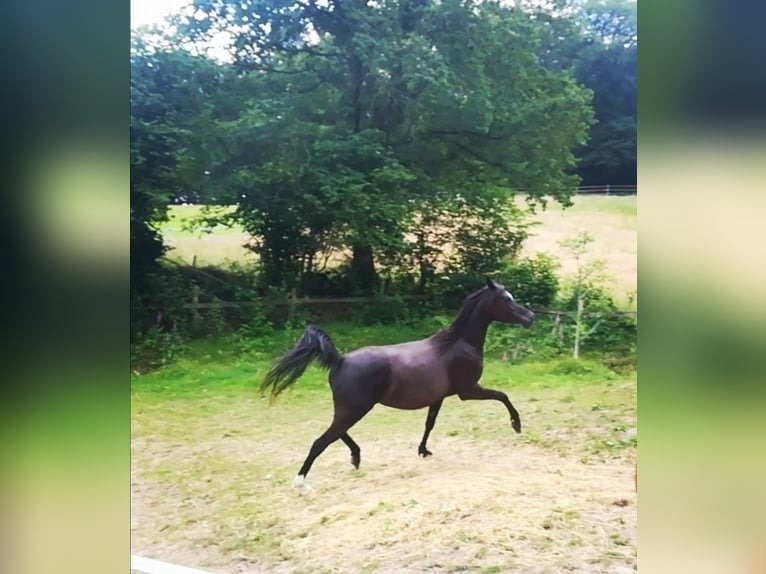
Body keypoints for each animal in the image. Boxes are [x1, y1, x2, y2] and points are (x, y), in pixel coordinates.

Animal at [260, 278, 535, 493]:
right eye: (506, 299)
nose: (530, 317)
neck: (457, 344)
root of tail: (340, 360)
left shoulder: (439, 397)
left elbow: (430, 423)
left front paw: (423, 451)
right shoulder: (468, 390)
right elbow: (503, 396)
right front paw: (517, 424)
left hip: (349, 409)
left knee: (336, 433)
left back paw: (355, 457)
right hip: (356, 408)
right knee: (322, 440)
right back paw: (302, 484)